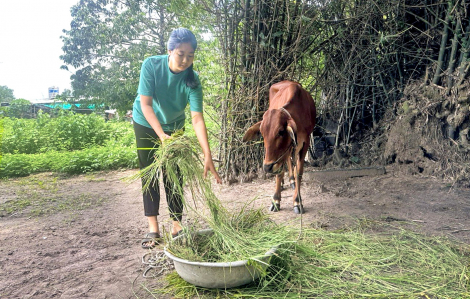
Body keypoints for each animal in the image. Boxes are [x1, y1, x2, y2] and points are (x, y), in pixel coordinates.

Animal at [242, 81, 316, 214]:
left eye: (281, 132)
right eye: (262, 133)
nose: (267, 167)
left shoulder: (305, 143)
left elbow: (299, 172)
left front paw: (297, 201)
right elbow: (279, 172)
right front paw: (275, 200)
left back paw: (291, 180)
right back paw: (282, 183)